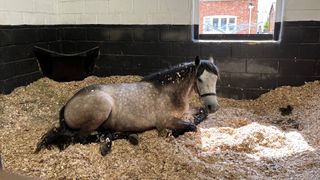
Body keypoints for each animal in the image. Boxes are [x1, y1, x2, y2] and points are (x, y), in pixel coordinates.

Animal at [35, 55, 220, 155]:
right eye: (200, 79)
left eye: (216, 78)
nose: (214, 106)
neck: (170, 92)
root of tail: (68, 105)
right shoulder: (164, 122)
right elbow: (191, 126)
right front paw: (173, 133)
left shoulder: (186, 110)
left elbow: (200, 114)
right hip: (102, 108)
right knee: (82, 137)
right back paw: (112, 142)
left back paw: (125, 137)